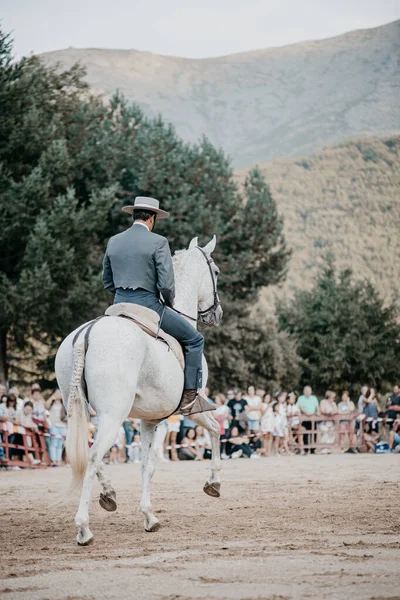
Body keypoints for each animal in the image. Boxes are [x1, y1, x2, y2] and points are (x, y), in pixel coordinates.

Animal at [54, 234, 222, 544]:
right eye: (215, 272)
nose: (217, 314)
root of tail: (88, 333)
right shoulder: (188, 411)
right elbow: (215, 429)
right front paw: (213, 482)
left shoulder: (149, 419)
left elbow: (146, 465)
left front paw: (148, 516)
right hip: (113, 415)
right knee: (94, 456)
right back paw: (83, 528)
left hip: (81, 412)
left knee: (86, 453)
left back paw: (109, 494)